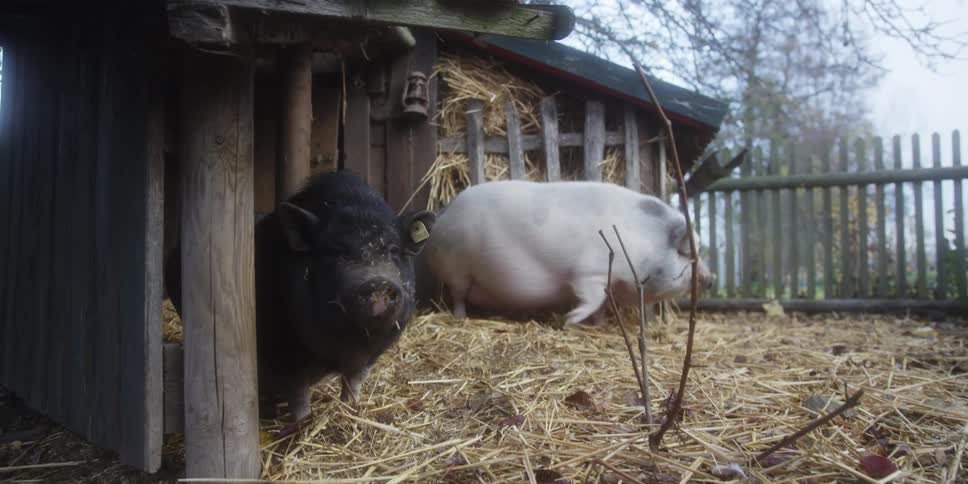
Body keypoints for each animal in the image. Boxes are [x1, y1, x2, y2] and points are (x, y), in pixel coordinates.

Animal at [165, 170, 436, 423]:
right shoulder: (286, 352)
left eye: (393, 250)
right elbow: (299, 395)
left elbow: (353, 383)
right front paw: (302, 423)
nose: (377, 282)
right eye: (336, 252)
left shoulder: (368, 357)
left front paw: (351, 410)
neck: (343, 346)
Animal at [418, 180, 712, 326]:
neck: (641, 240)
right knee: (458, 295)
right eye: (686, 253)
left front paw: (599, 325)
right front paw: (569, 320)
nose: (711, 279)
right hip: (456, 268)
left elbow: (603, 305)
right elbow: (592, 297)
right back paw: (461, 317)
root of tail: (443, 214)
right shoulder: (589, 271)